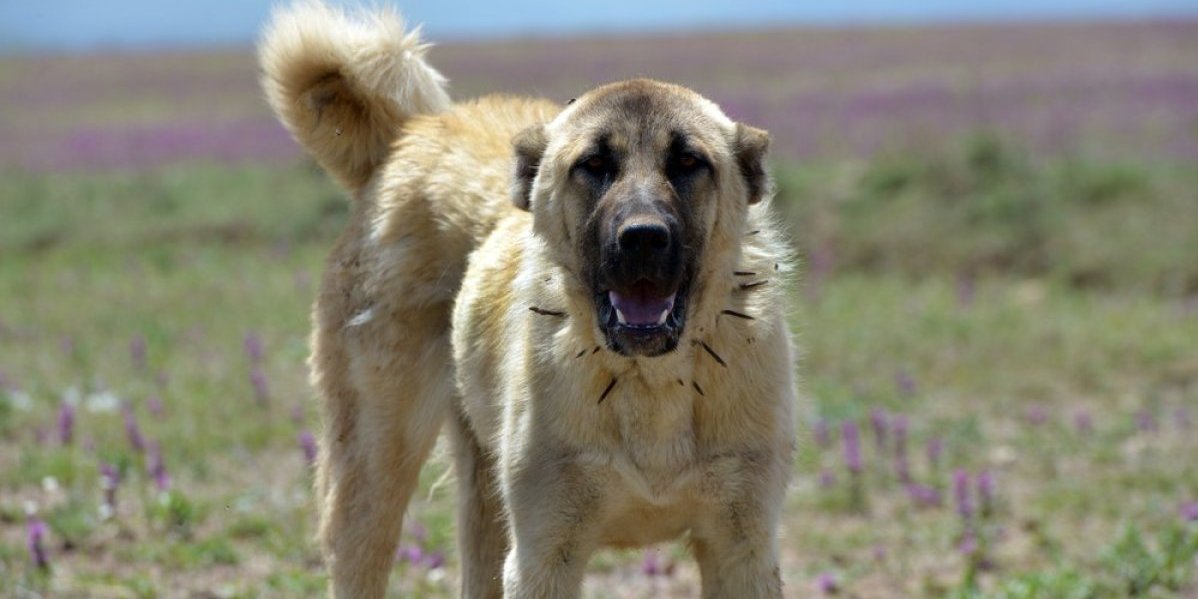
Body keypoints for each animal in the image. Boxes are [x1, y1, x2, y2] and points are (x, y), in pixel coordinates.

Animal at [259, 2, 795, 596]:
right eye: (593, 165)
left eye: (688, 162)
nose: (642, 237)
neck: (652, 384)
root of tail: (413, 133)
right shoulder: (543, 554)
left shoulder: (741, 548)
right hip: (372, 478)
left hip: (481, 502)